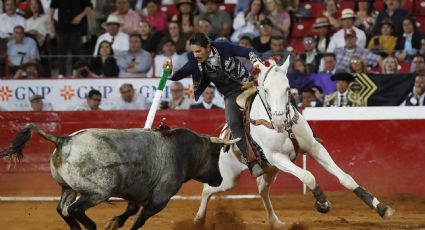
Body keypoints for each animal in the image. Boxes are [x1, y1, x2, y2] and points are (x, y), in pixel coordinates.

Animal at [0, 125, 238, 229]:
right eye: (216, 154)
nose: (219, 180)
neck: (182, 151)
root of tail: (64, 140)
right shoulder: (160, 198)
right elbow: (141, 219)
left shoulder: (136, 191)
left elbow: (131, 210)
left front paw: (114, 223)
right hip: (98, 192)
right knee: (75, 209)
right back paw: (91, 227)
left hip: (67, 188)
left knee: (63, 209)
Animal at [192, 56, 394, 227]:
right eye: (266, 90)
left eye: (288, 89)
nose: (280, 122)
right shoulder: (278, 157)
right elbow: (308, 176)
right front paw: (323, 203)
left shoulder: (314, 148)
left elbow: (346, 178)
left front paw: (381, 207)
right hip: (229, 177)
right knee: (207, 190)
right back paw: (198, 220)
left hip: (269, 171)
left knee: (262, 191)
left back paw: (275, 222)